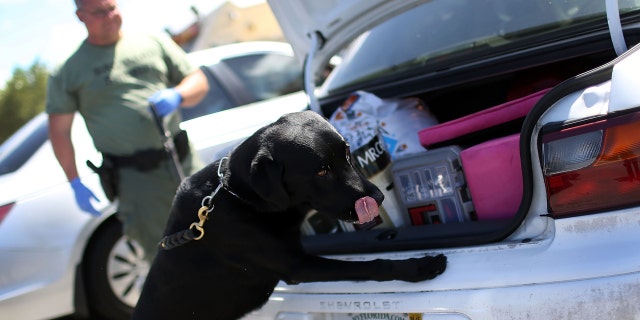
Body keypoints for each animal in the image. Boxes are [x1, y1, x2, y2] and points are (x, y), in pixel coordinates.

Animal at [133, 111, 448, 318]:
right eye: (321, 171)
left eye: (347, 154)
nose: (380, 197)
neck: (239, 196)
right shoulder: (299, 266)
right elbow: (373, 266)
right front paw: (420, 266)